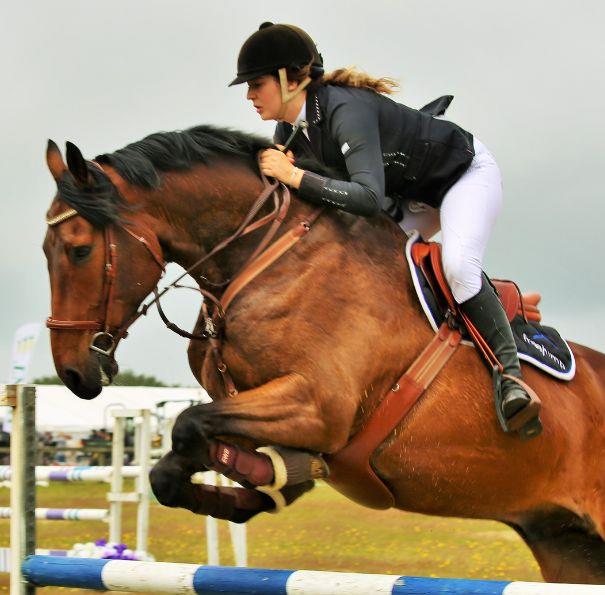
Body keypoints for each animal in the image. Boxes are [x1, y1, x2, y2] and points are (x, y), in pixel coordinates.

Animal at [42, 128, 604, 584]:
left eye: (78, 249)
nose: (73, 373)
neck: (270, 258)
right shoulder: (253, 402)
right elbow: (179, 458)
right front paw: (263, 483)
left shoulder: (317, 406)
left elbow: (188, 424)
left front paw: (269, 479)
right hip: (567, 544)